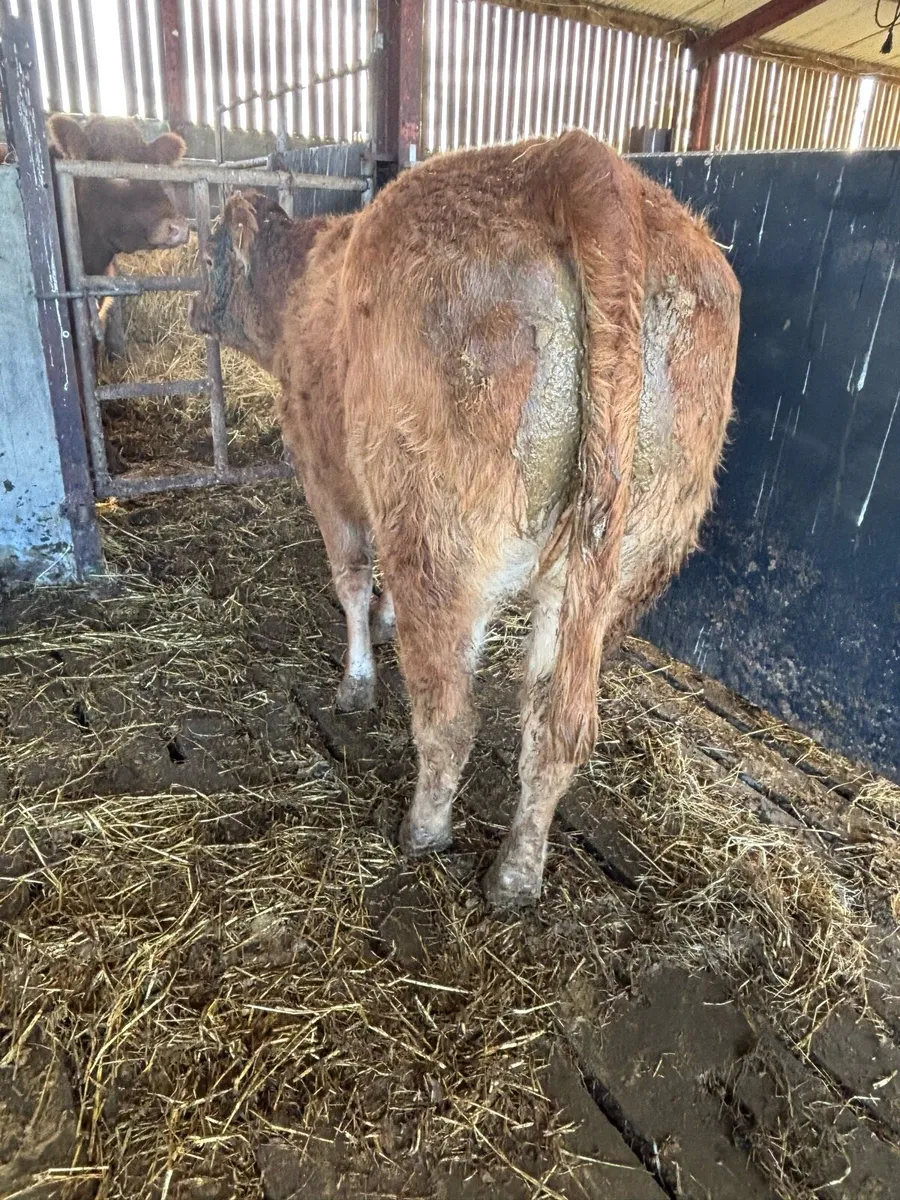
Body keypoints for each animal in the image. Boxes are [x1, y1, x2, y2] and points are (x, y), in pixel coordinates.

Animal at [190, 130, 740, 908]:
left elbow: (351, 579)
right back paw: (517, 871)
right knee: (555, 724)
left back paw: (423, 829)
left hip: (438, 538)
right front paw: (382, 627)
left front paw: (357, 680)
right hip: (623, 562)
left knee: (449, 713)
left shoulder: (324, 473)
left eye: (208, 251)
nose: (189, 309)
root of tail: (580, 161)